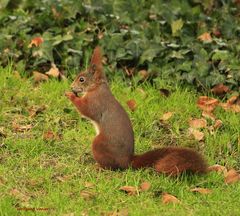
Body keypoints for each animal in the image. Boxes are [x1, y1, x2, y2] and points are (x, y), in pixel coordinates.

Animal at [64, 46, 207, 176]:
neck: (97, 87)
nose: (71, 87)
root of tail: (127, 161)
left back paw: (99, 167)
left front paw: (70, 95)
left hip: (99, 144)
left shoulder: (96, 101)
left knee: (111, 166)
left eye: (81, 79)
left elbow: (86, 110)